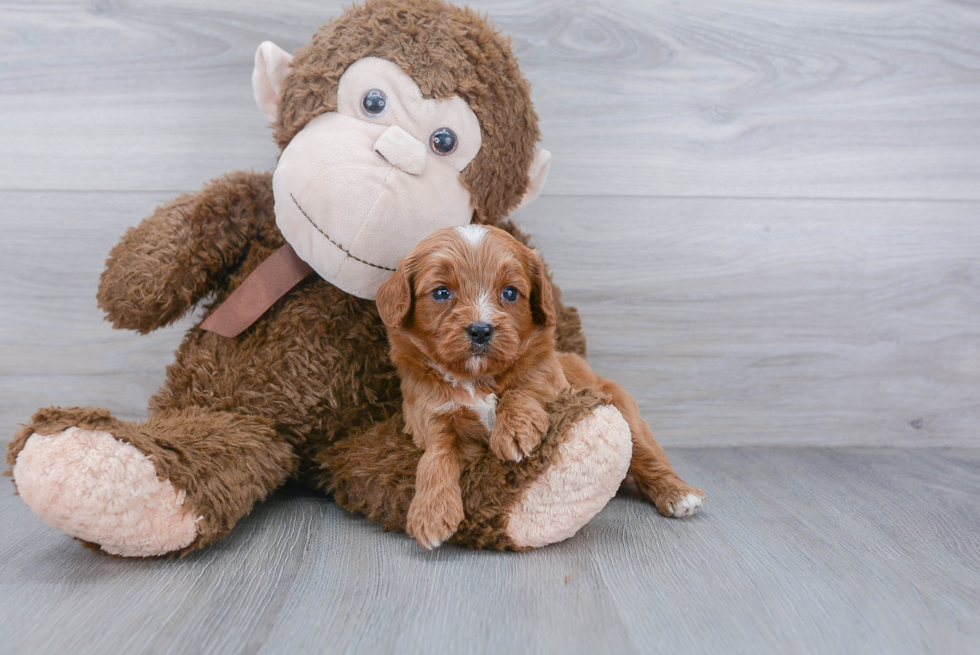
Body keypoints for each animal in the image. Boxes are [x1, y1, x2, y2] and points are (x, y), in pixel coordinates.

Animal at [376, 226, 704, 548]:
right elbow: (435, 457)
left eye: (510, 292)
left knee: (647, 455)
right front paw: (430, 513)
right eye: (441, 292)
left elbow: (523, 387)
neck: (478, 379)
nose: (481, 330)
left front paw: (514, 430)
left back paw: (679, 494)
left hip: (622, 407)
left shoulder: (554, 384)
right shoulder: (431, 418)